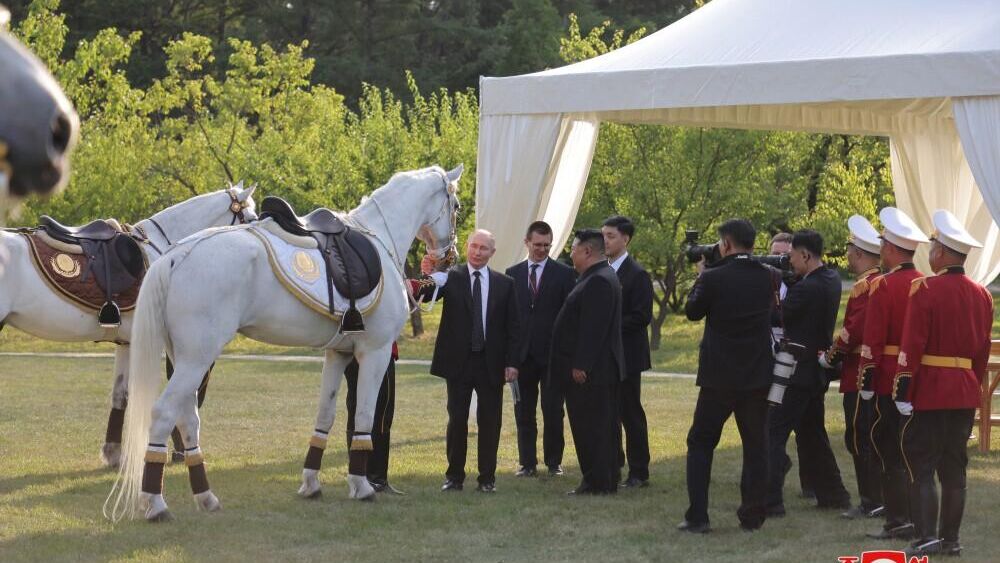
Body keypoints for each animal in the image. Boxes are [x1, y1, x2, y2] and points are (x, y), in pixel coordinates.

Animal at [105, 165, 460, 524]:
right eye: (456, 206)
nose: (448, 258)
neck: (377, 234)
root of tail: (176, 255)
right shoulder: (374, 353)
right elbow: (364, 417)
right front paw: (361, 486)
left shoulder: (338, 354)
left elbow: (325, 414)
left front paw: (311, 483)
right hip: (196, 360)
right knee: (163, 413)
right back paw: (156, 504)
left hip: (186, 360)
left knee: (188, 420)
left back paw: (206, 497)